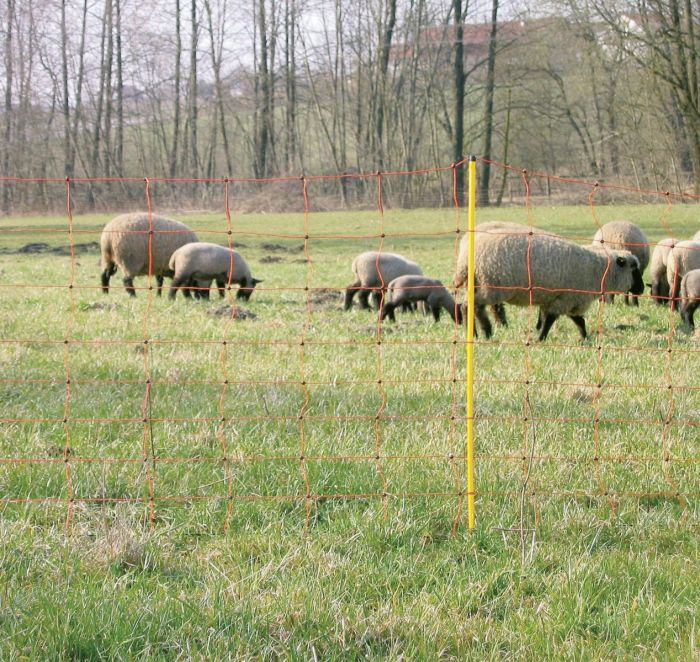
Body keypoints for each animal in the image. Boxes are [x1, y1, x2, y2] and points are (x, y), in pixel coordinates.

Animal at [470, 228, 644, 342]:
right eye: (633, 269)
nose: (641, 290)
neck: (598, 270)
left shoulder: (568, 300)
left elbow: (578, 321)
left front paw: (584, 338)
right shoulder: (568, 299)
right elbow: (551, 320)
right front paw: (541, 339)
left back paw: (476, 333)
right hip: (492, 286)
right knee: (473, 306)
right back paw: (485, 331)